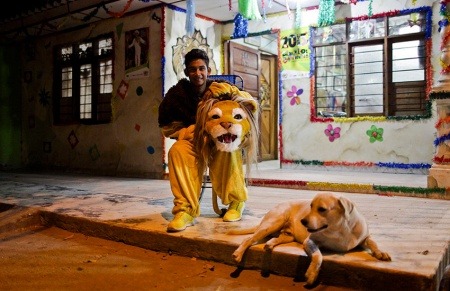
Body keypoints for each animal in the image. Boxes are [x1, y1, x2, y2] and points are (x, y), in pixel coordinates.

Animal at [229, 193, 390, 286]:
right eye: (310, 206)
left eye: (322, 209)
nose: (302, 221)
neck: (339, 230)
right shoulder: (310, 242)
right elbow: (318, 256)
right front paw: (312, 274)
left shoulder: (365, 237)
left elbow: (373, 242)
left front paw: (380, 253)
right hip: (271, 224)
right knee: (248, 239)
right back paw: (238, 254)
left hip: (286, 235)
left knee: (274, 240)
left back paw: (269, 244)